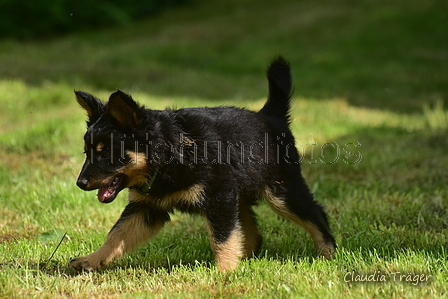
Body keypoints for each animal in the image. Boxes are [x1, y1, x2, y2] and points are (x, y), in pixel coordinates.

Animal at [71, 57, 336, 274]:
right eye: (87, 153)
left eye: (106, 153)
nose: (80, 183)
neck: (172, 153)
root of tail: (270, 116)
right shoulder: (147, 208)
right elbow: (116, 235)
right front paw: (91, 260)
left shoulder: (218, 199)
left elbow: (221, 238)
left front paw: (223, 272)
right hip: (239, 196)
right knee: (251, 235)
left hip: (281, 190)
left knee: (315, 214)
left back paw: (328, 254)